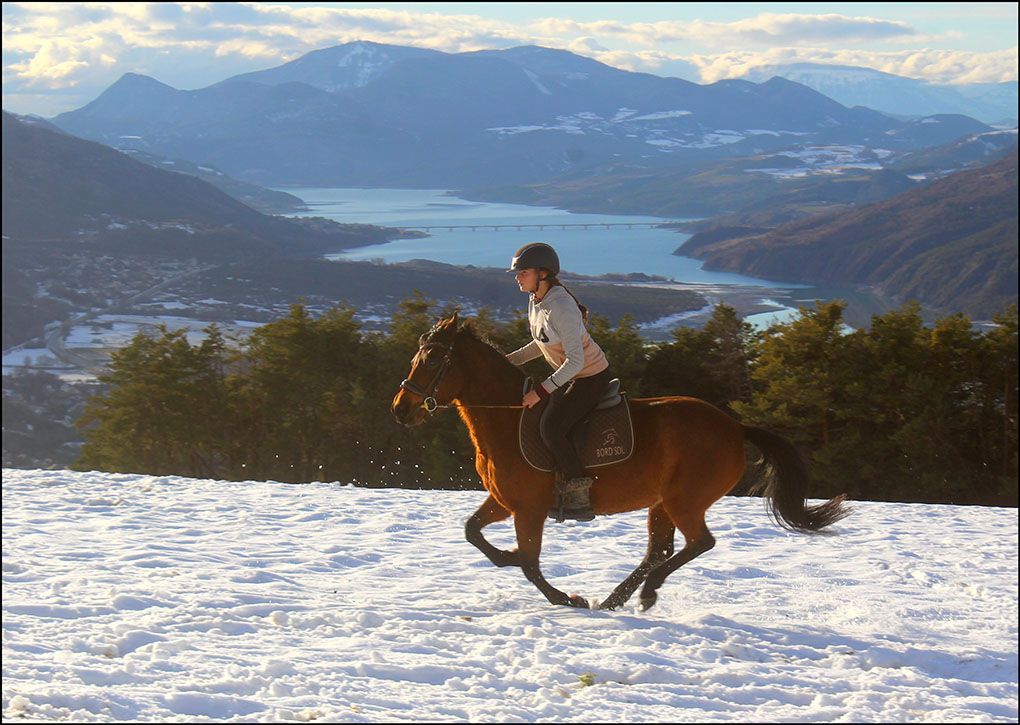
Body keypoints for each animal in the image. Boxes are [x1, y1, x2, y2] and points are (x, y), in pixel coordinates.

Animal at [390, 312, 850, 611]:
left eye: (434, 360)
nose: (400, 410)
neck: (508, 417)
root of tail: (735, 427)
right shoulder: (506, 502)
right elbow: (474, 533)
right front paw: (506, 556)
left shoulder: (529, 508)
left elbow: (531, 565)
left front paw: (568, 598)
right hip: (662, 502)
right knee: (660, 549)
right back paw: (619, 597)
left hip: (685, 500)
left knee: (699, 543)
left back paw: (644, 593)